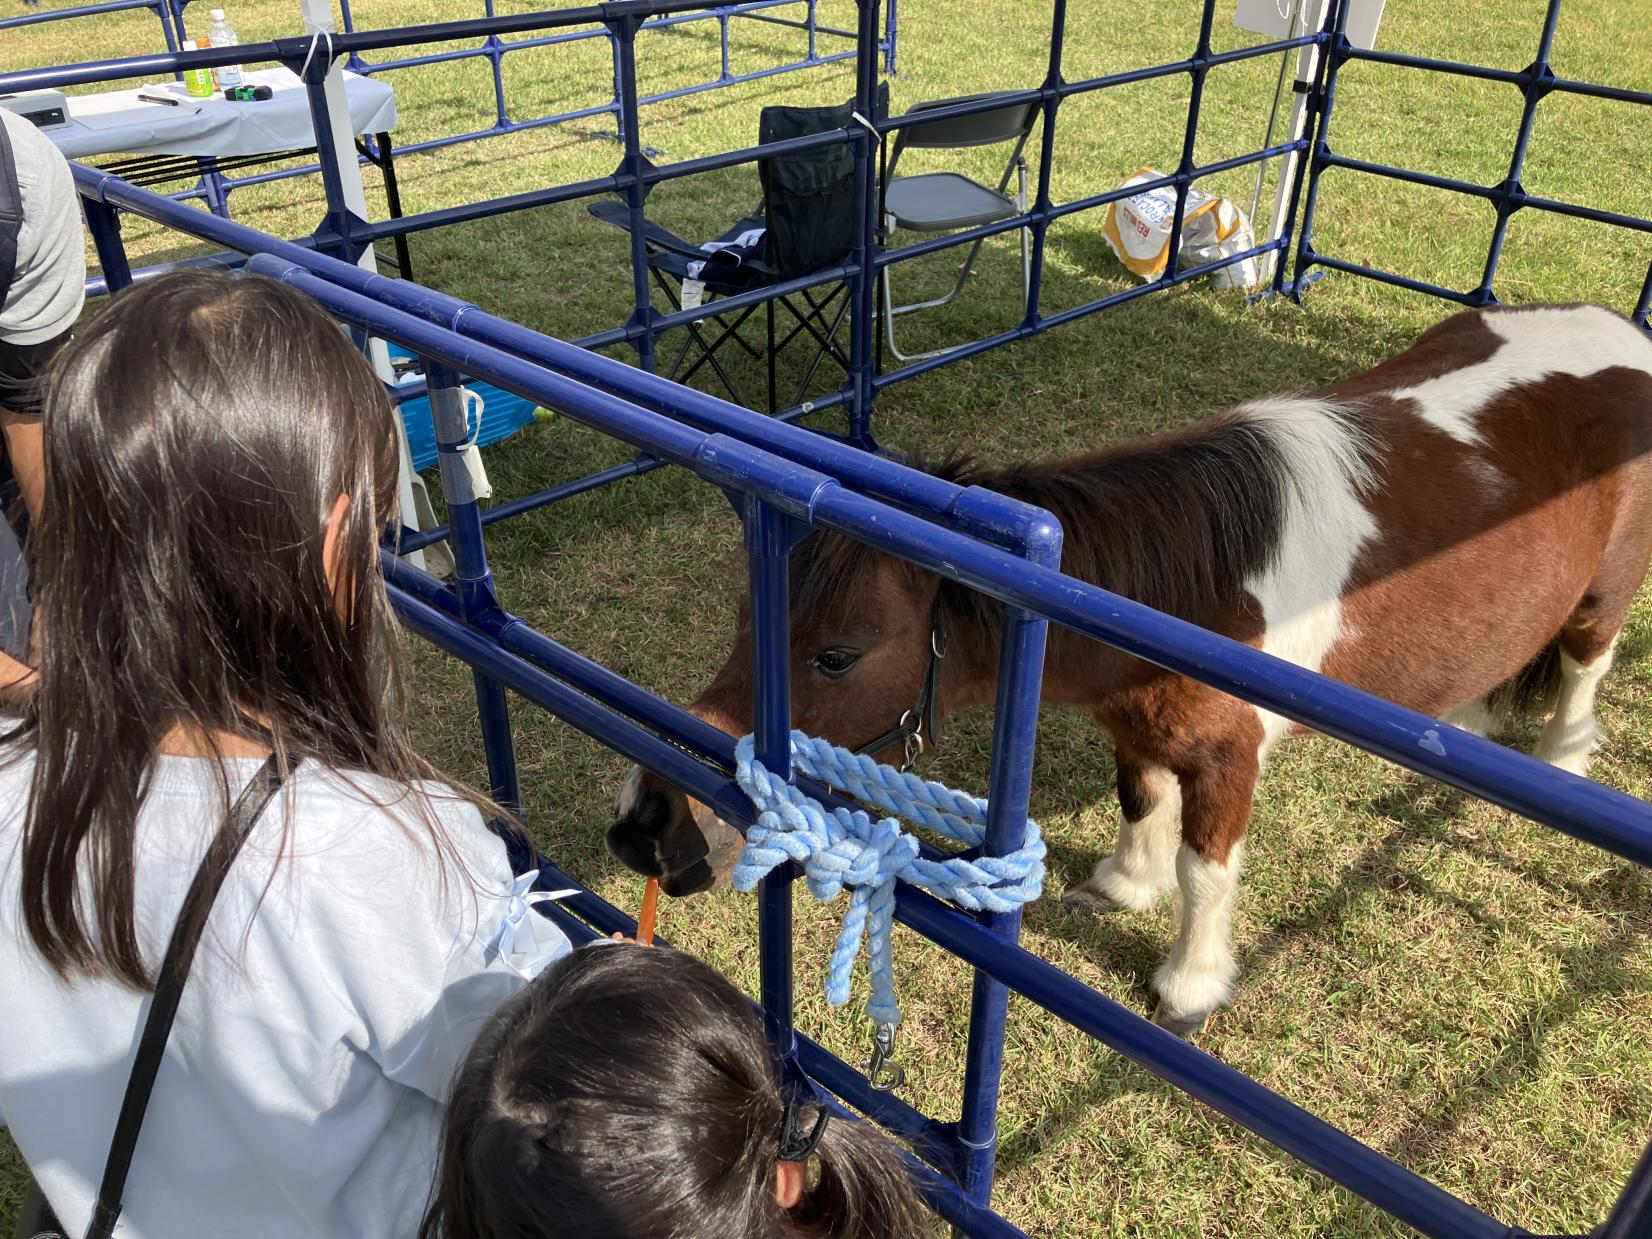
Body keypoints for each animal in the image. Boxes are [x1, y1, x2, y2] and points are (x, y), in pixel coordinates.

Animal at [607, 303, 1652, 1037]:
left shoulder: (1230, 758)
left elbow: (1204, 872)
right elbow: (1143, 802)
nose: (646, 826)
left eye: (836, 654)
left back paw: (1559, 760)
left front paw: (1189, 984)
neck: (1192, 588)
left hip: (1601, 603)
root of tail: (1623, 336)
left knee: (1582, 668)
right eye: (747, 616)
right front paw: (1121, 885)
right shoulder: (1136, 725)